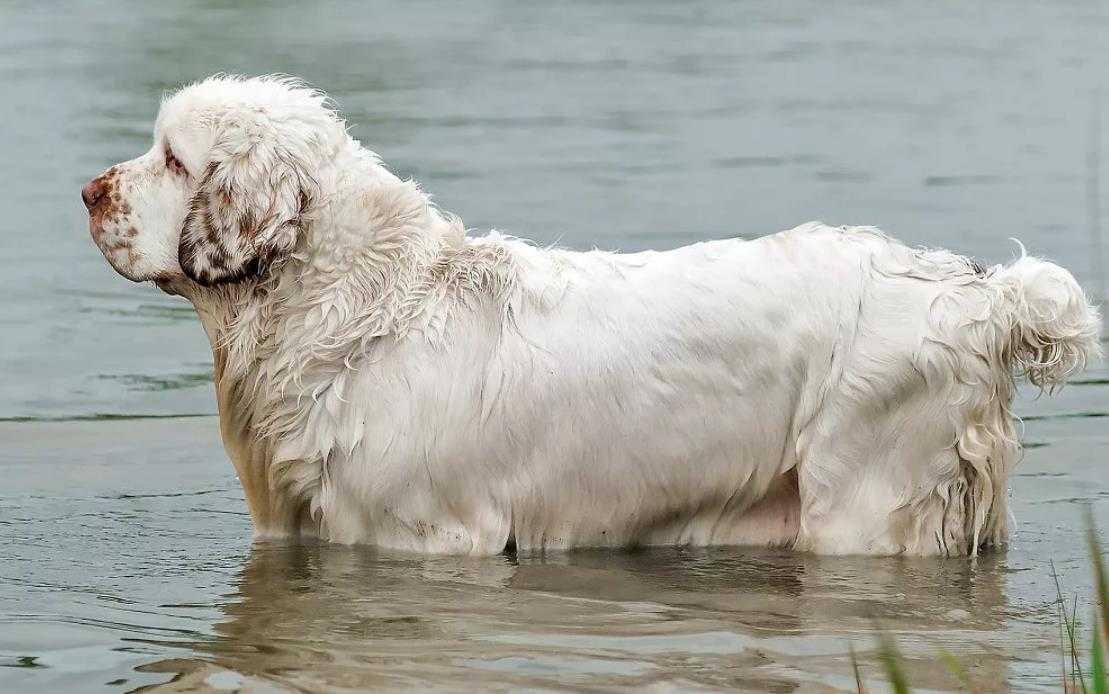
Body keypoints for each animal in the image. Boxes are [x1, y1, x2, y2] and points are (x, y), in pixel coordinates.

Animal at [84, 75, 1100, 554]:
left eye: (173, 159)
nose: (91, 192)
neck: (362, 309)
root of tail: (978, 292)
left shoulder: (424, 536)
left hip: (867, 504)